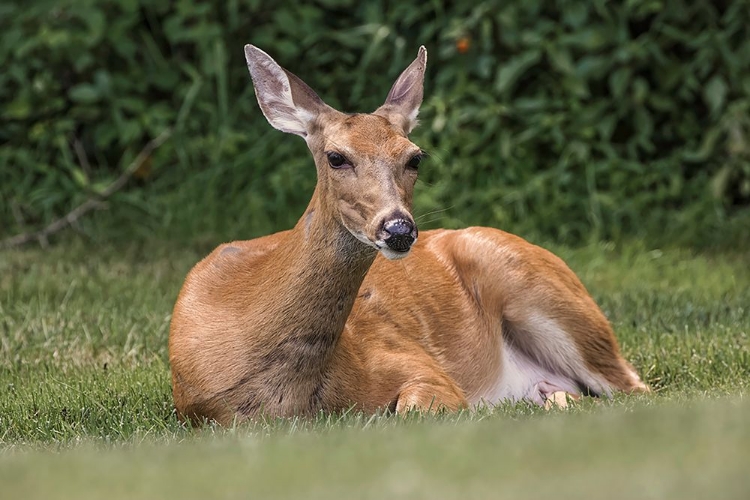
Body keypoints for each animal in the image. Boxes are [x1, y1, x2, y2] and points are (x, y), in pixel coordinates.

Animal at [167, 44, 648, 426]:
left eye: (415, 157)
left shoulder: (419, 366)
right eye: (336, 157)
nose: (398, 228)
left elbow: (410, 410)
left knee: (634, 389)